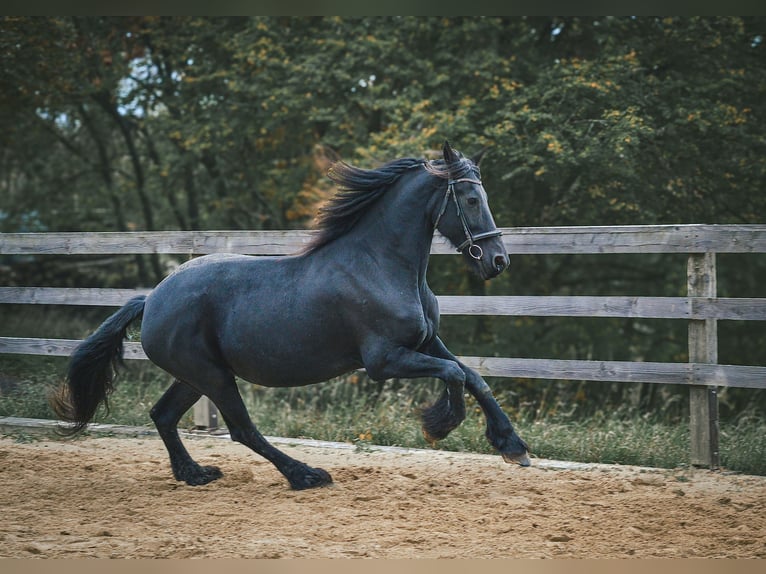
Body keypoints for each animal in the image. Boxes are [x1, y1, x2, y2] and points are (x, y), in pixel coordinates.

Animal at [51, 141, 530, 490]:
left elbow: (473, 376)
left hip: (195, 376)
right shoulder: (384, 360)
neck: (381, 266)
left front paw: (513, 446)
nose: (498, 261)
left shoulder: (425, 341)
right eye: (470, 198)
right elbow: (453, 375)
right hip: (212, 376)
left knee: (163, 416)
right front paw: (439, 425)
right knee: (242, 429)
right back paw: (306, 475)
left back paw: (195, 474)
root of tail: (151, 300)